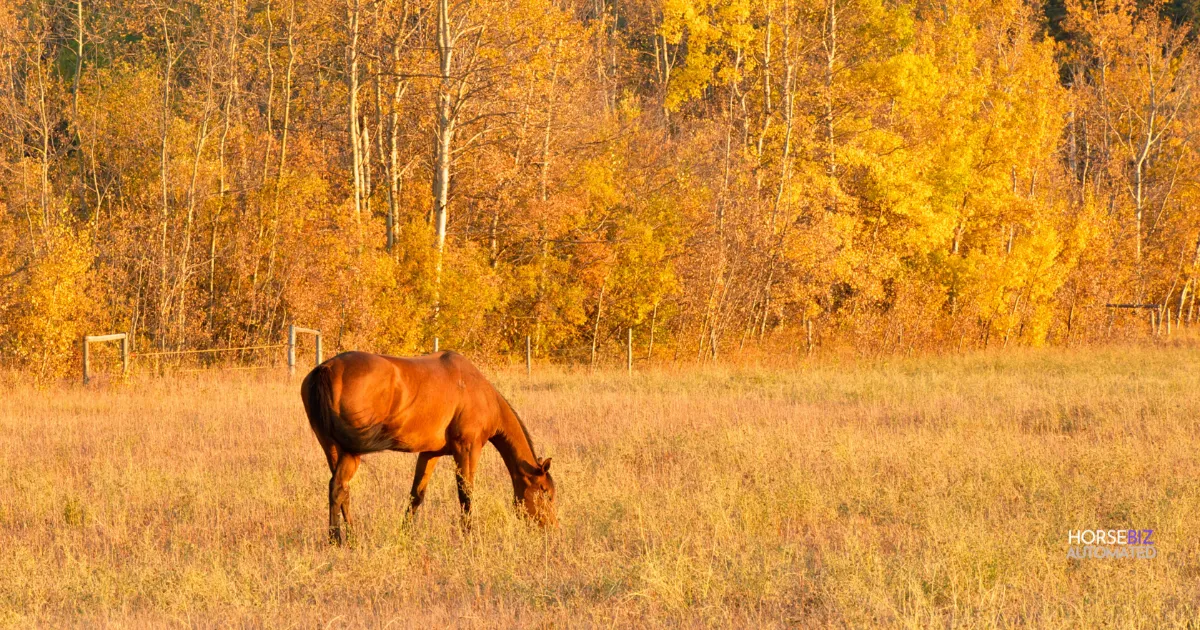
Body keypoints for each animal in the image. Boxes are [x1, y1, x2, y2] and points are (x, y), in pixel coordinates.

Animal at [304, 348, 556, 540]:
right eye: (545, 492)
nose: (551, 528)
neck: (479, 392)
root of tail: (326, 369)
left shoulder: (430, 453)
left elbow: (416, 495)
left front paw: (404, 533)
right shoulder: (467, 449)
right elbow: (466, 494)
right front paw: (469, 534)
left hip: (332, 449)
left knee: (342, 490)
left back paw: (351, 536)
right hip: (350, 451)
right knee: (338, 488)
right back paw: (337, 539)